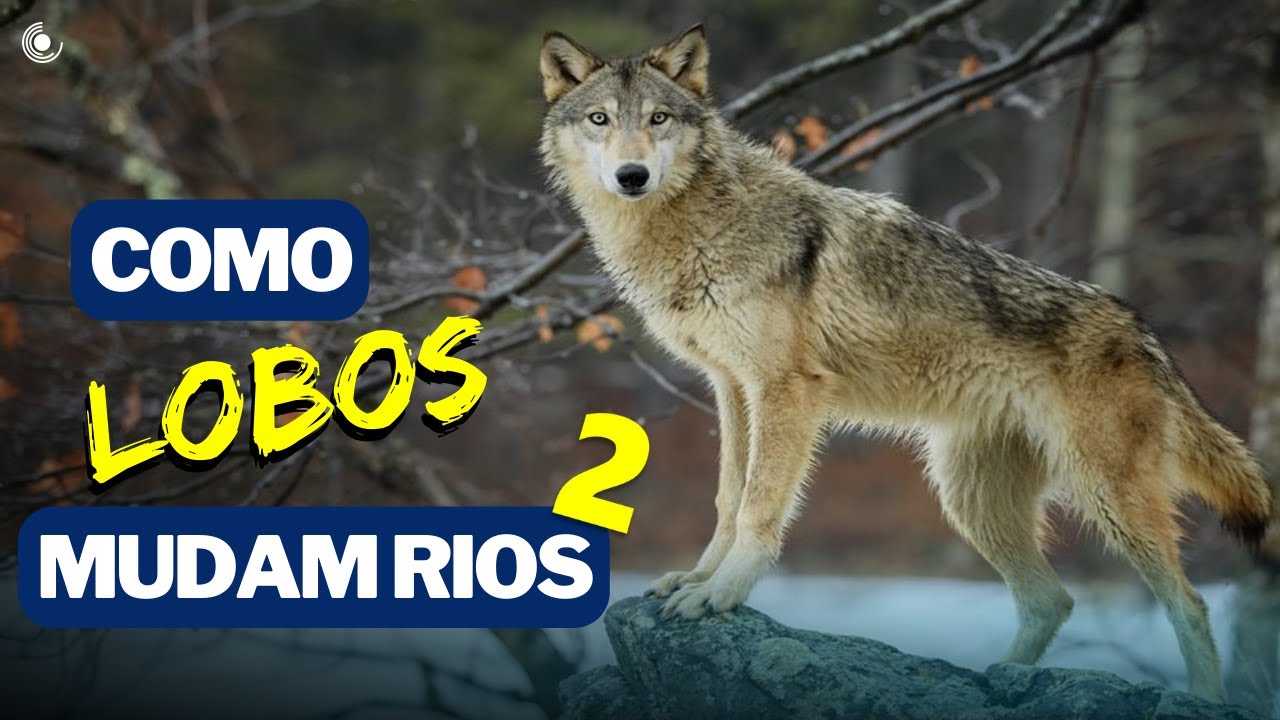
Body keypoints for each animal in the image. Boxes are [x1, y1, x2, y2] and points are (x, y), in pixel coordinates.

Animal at [538, 24, 1271, 700]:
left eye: (657, 119)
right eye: (601, 120)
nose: (632, 176)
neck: (693, 227)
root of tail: (1145, 330)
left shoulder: (785, 389)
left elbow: (758, 505)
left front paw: (721, 594)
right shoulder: (731, 387)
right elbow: (726, 497)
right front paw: (699, 577)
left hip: (1105, 497)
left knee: (1190, 603)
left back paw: (1204, 699)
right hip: (970, 500)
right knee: (1053, 599)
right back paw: (1001, 679)